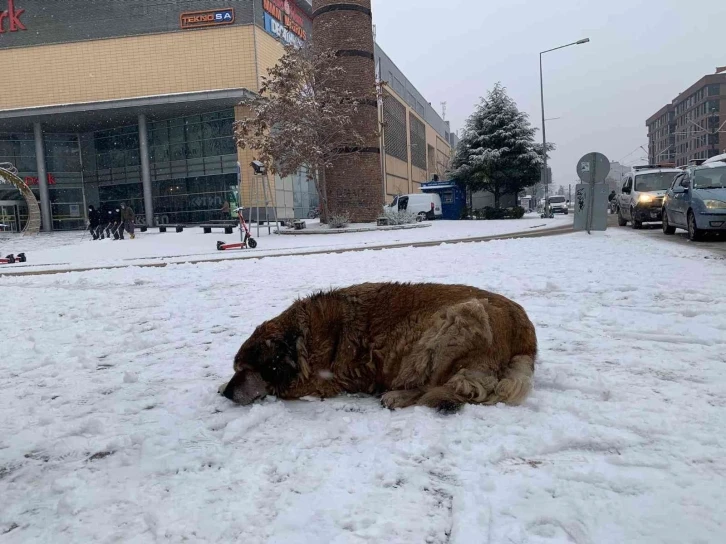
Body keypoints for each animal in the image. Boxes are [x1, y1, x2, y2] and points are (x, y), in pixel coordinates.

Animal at [219, 280, 536, 412]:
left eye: (247, 369)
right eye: (236, 369)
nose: (228, 393)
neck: (301, 340)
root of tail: (525, 329)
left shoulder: (321, 381)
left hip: (455, 321)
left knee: (439, 386)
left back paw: (397, 396)